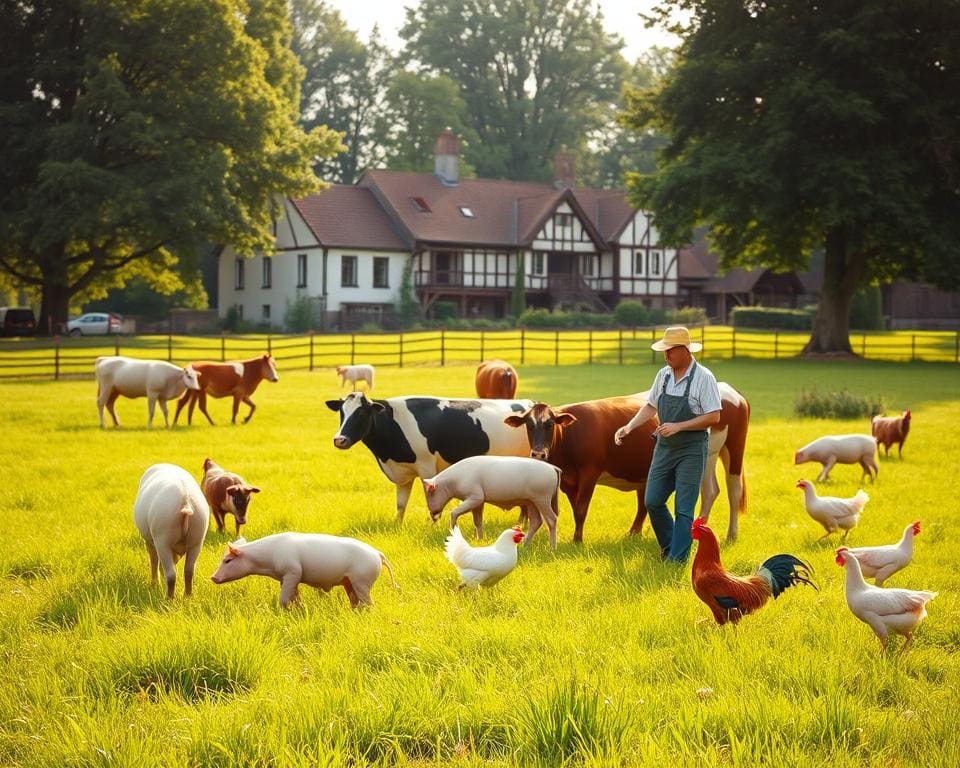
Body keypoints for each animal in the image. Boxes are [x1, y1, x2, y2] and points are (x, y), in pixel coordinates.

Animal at [132, 462, 209, 600]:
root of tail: (185, 501)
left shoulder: (150, 540)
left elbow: (153, 560)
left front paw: (154, 585)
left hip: (163, 537)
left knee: (171, 574)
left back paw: (168, 599)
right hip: (197, 537)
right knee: (189, 571)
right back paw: (187, 596)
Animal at [211, 532, 398, 608]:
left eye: (227, 560)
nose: (212, 578)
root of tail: (377, 553)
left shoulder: (292, 571)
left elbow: (284, 599)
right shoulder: (286, 578)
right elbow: (294, 596)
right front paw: (299, 609)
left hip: (362, 580)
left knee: (369, 603)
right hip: (349, 582)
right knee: (355, 601)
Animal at [322, 396, 532, 520]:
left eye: (361, 413)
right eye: (342, 413)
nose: (339, 440)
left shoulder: (426, 468)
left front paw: (432, 525)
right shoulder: (403, 473)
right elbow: (400, 505)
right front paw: (397, 527)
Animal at [422, 452, 564, 548]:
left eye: (430, 493)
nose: (433, 515)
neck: (455, 479)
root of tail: (553, 468)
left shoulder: (475, 497)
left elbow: (454, 513)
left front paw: (452, 532)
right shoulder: (479, 502)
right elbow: (478, 521)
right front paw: (479, 540)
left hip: (542, 499)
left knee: (551, 519)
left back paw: (552, 547)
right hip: (531, 502)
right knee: (536, 521)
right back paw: (524, 545)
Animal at [502, 392, 660, 544]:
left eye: (551, 424)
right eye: (528, 424)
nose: (538, 454)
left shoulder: (589, 475)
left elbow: (581, 510)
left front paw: (577, 540)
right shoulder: (567, 482)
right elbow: (575, 509)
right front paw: (577, 537)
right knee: (643, 505)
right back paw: (633, 533)